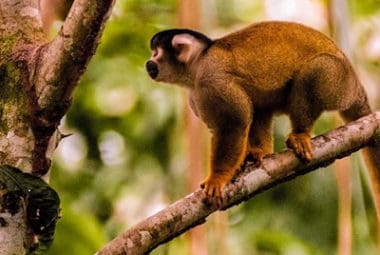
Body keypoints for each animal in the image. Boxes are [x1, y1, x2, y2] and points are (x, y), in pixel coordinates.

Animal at [145, 21, 380, 209]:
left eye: (156, 54)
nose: (148, 63)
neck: (197, 67)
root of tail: (356, 84)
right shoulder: (196, 96)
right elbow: (240, 118)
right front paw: (241, 162)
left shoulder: (213, 81)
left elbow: (234, 123)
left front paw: (217, 178)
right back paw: (261, 152)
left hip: (339, 80)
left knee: (316, 70)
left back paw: (300, 134)